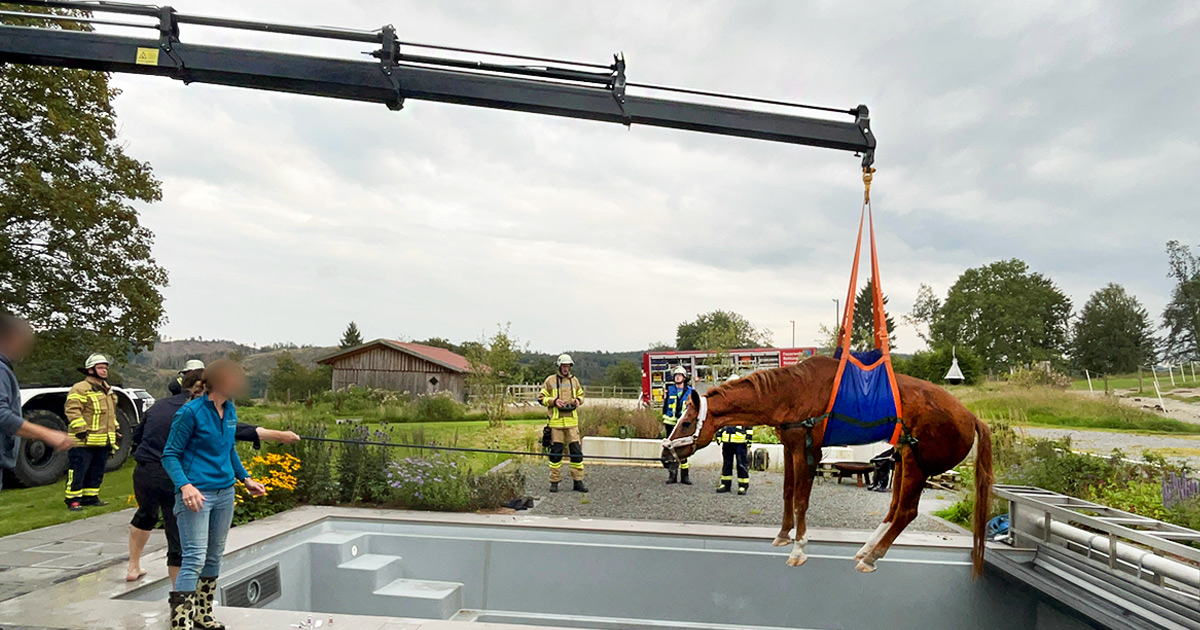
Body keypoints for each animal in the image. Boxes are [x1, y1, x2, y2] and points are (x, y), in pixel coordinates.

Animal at [662, 352, 988, 573]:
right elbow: (788, 494)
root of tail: (970, 416)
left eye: (687, 421)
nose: (665, 456)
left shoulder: (809, 451)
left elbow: (800, 501)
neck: (792, 393)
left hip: (917, 466)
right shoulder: (791, 448)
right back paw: (867, 549)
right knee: (895, 509)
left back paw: (872, 557)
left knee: (906, 512)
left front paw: (798, 548)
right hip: (904, 460)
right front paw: (784, 535)